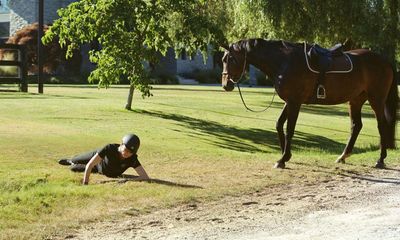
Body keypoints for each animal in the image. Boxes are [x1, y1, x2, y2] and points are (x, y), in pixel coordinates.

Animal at [220, 38, 398, 169]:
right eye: (223, 59)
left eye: (231, 59)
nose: (225, 85)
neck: (284, 61)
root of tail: (385, 61)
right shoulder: (289, 101)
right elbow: (279, 124)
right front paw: (286, 155)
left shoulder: (295, 102)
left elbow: (289, 129)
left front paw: (283, 159)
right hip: (355, 100)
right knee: (356, 126)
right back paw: (343, 156)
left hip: (376, 99)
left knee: (381, 125)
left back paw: (380, 160)